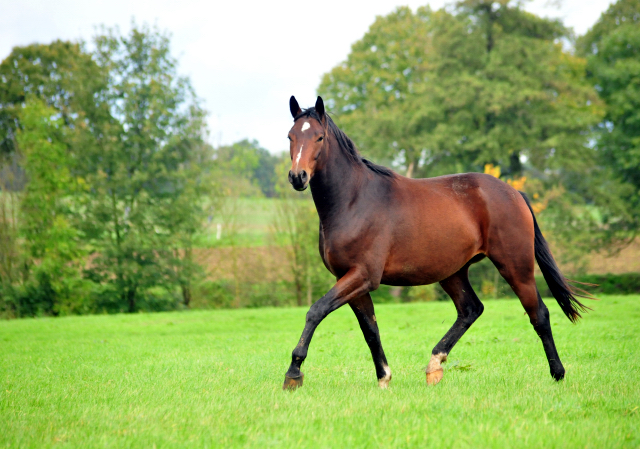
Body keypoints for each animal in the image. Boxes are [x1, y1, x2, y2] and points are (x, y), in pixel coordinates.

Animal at [282, 94, 592, 388]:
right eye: (290, 136)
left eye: (319, 137)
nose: (298, 177)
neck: (353, 200)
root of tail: (514, 193)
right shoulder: (350, 278)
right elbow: (370, 329)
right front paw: (384, 377)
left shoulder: (363, 276)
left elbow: (316, 310)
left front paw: (294, 372)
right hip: (453, 272)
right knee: (470, 310)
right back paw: (434, 366)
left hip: (516, 267)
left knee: (539, 314)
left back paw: (558, 373)